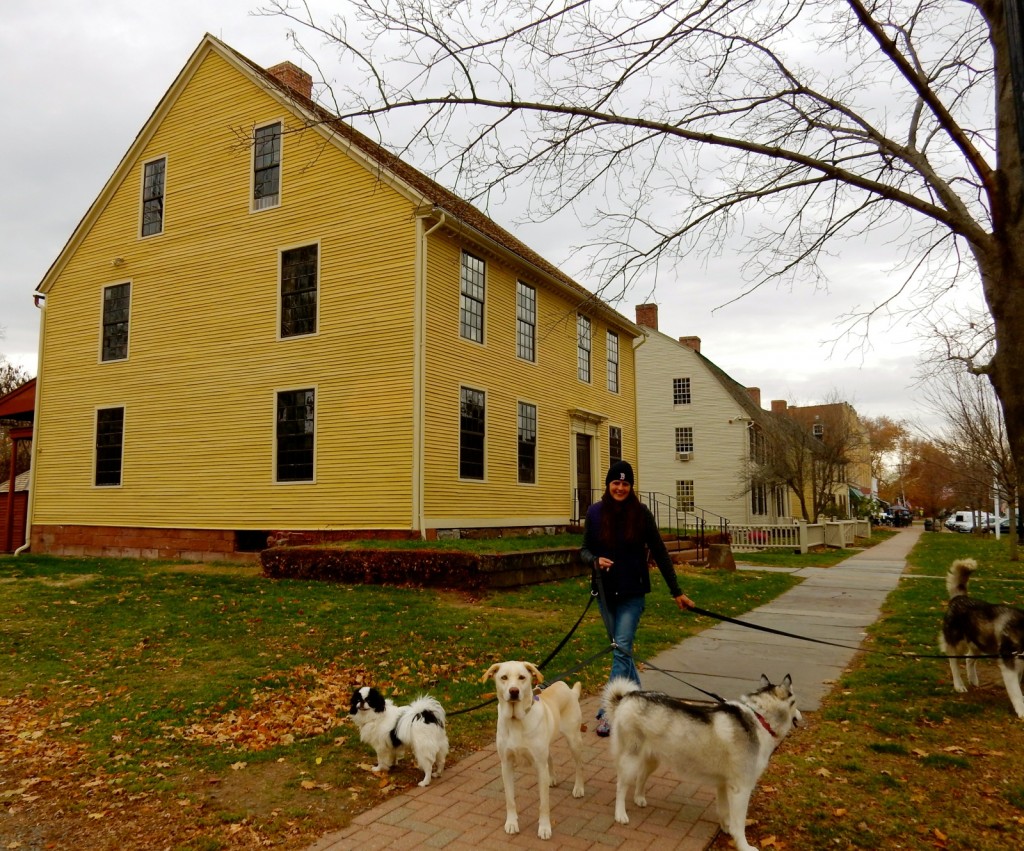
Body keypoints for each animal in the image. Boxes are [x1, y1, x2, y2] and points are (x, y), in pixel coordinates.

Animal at [483, 659, 589, 839]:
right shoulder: (506, 765)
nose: (513, 691)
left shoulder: (539, 766)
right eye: (503, 677)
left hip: (573, 740)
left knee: (579, 765)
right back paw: (552, 778)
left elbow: (544, 804)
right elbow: (510, 800)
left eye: (522, 677)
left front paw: (545, 828)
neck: (516, 720)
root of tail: (569, 690)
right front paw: (511, 823)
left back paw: (579, 788)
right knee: (550, 758)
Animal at [937, 557, 1024, 720]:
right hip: (956, 642)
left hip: (980, 642)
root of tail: (960, 597)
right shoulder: (1009, 661)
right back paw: (959, 685)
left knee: (968, 658)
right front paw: (1021, 709)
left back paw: (973, 679)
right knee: (954, 663)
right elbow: (1016, 691)